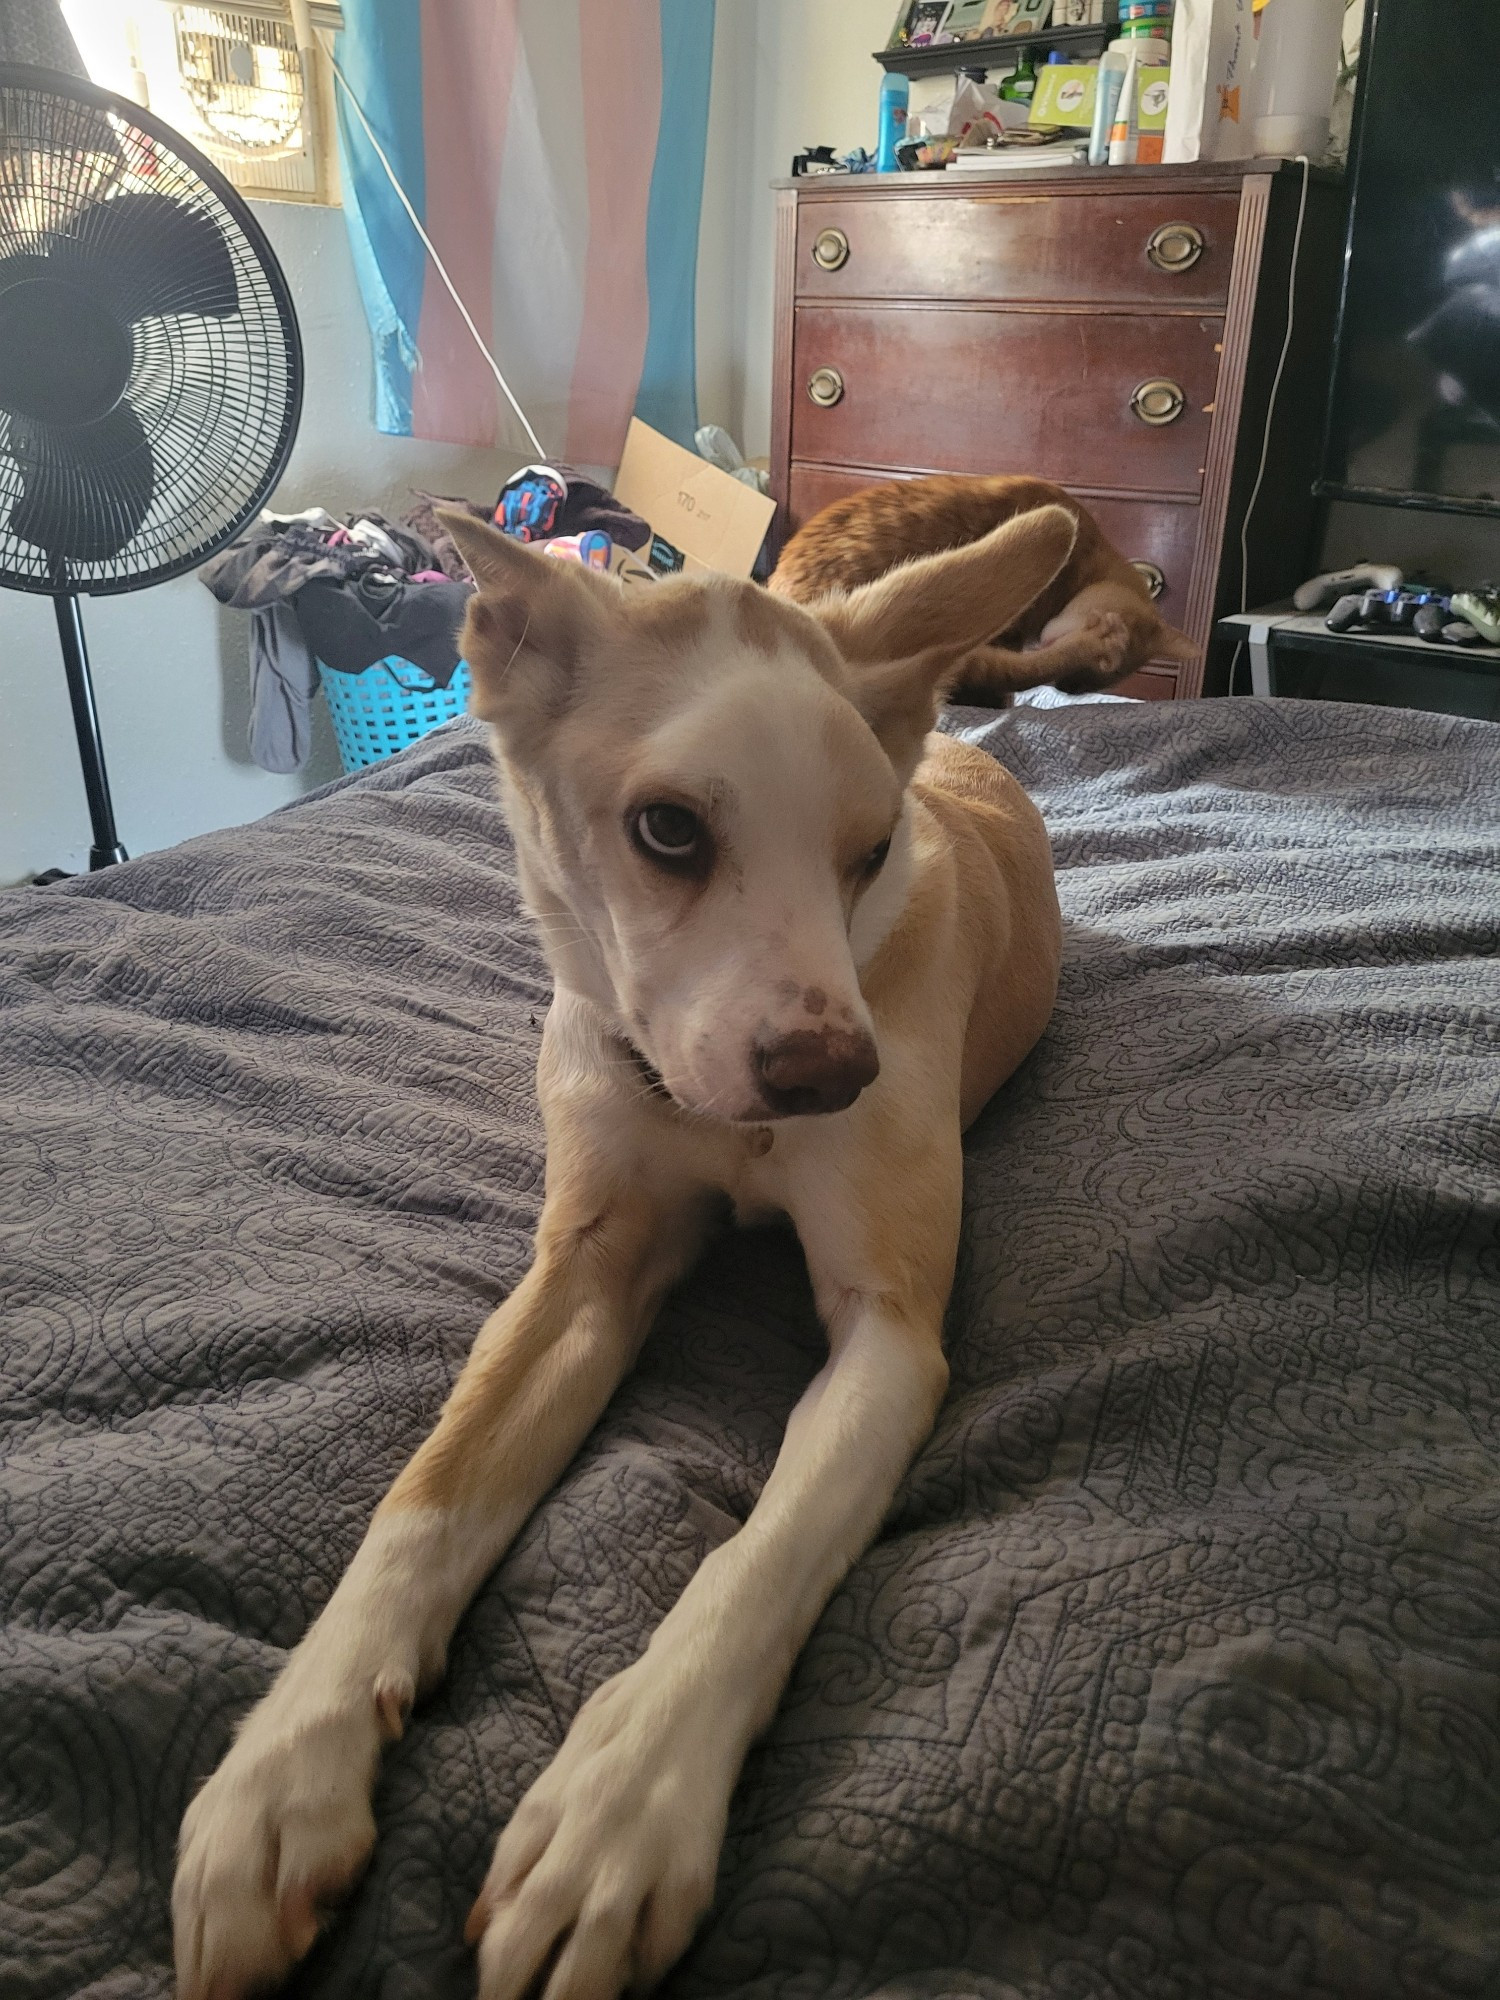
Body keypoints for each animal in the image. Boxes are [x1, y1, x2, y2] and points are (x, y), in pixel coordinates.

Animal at [170, 500, 1080, 2000]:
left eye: (869, 851)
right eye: (668, 830)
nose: (834, 1076)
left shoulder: (890, 1331)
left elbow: (760, 1555)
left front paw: (619, 1809)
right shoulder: (580, 1272)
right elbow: (426, 1495)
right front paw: (279, 1775)